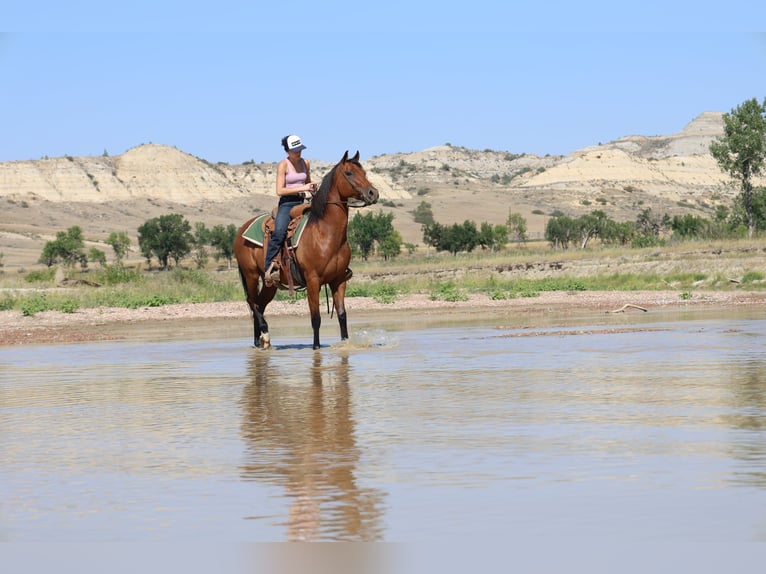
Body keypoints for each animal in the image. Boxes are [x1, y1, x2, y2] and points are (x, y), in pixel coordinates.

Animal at [234, 151, 379, 349]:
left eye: (364, 172)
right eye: (349, 173)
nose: (373, 193)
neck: (324, 233)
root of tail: (241, 231)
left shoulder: (339, 280)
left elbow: (342, 315)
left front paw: (344, 343)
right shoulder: (312, 280)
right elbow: (315, 318)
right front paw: (316, 347)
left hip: (270, 282)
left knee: (260, 304)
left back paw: (259, 341)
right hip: (251, 275)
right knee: (253, 303)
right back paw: (265, 335)